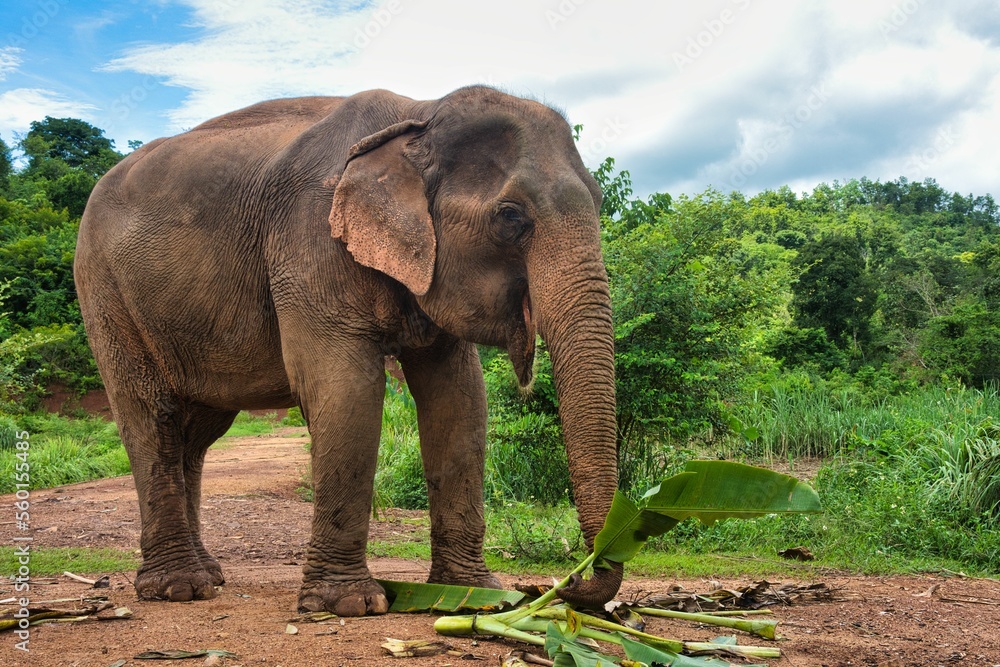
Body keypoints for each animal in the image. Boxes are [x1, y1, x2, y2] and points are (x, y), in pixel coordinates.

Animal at [74, 86, 621, 616]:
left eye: (599, 201)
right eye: (510, 216)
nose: (565, 583)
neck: (418, 114)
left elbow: (460, 402)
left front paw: (475, 593)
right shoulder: (310, 238)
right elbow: (347, 391)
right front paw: (350, 604)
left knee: (197, 434)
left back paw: (208, 575)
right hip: (104, 290)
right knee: (153, 416)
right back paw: (180, 588)